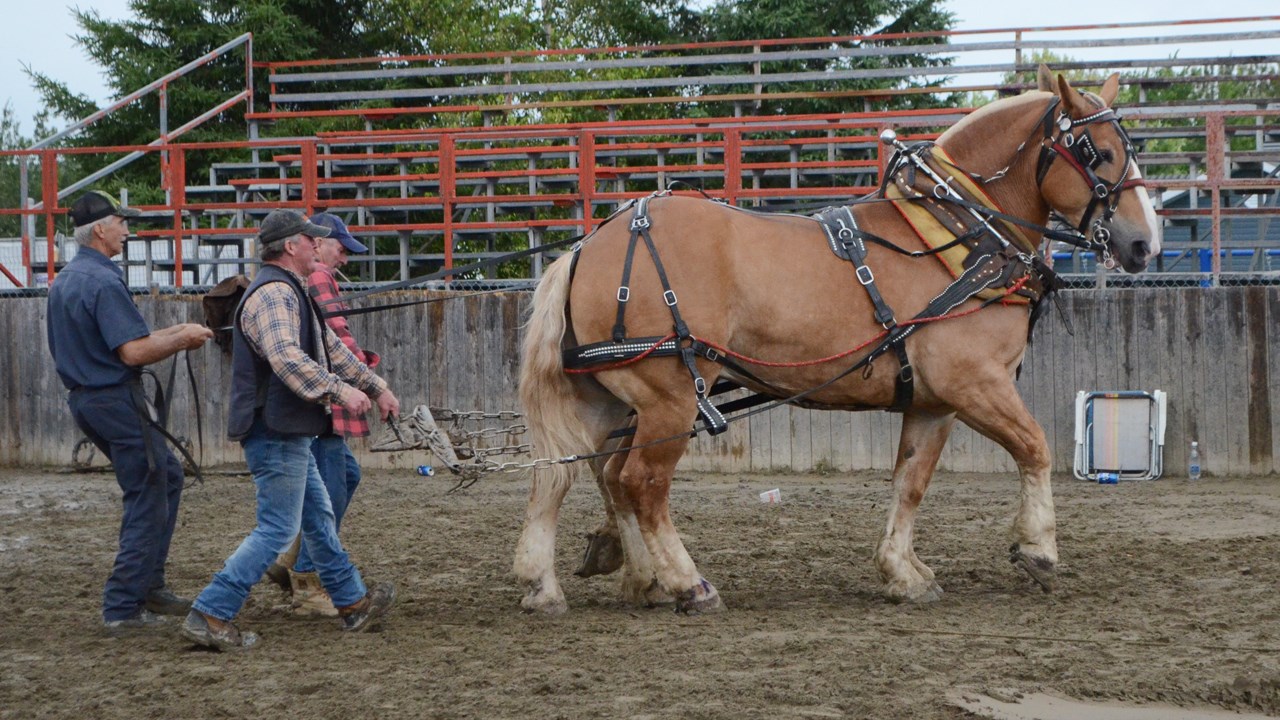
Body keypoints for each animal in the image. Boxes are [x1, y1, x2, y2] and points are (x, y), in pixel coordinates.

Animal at [513, 67, 1160, 615]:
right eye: (1097, 153)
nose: (1143, 244)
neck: (958, 235)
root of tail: (588, 246)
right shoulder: (975, 383)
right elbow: (1036, 448)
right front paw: (1038, 550)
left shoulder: (934, 402)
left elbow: (910, 482)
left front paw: (903, 571)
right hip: (667, 395)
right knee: (638, 483)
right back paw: (685, 582)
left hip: (608, 398)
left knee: (565, 476)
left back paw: (550, 584)